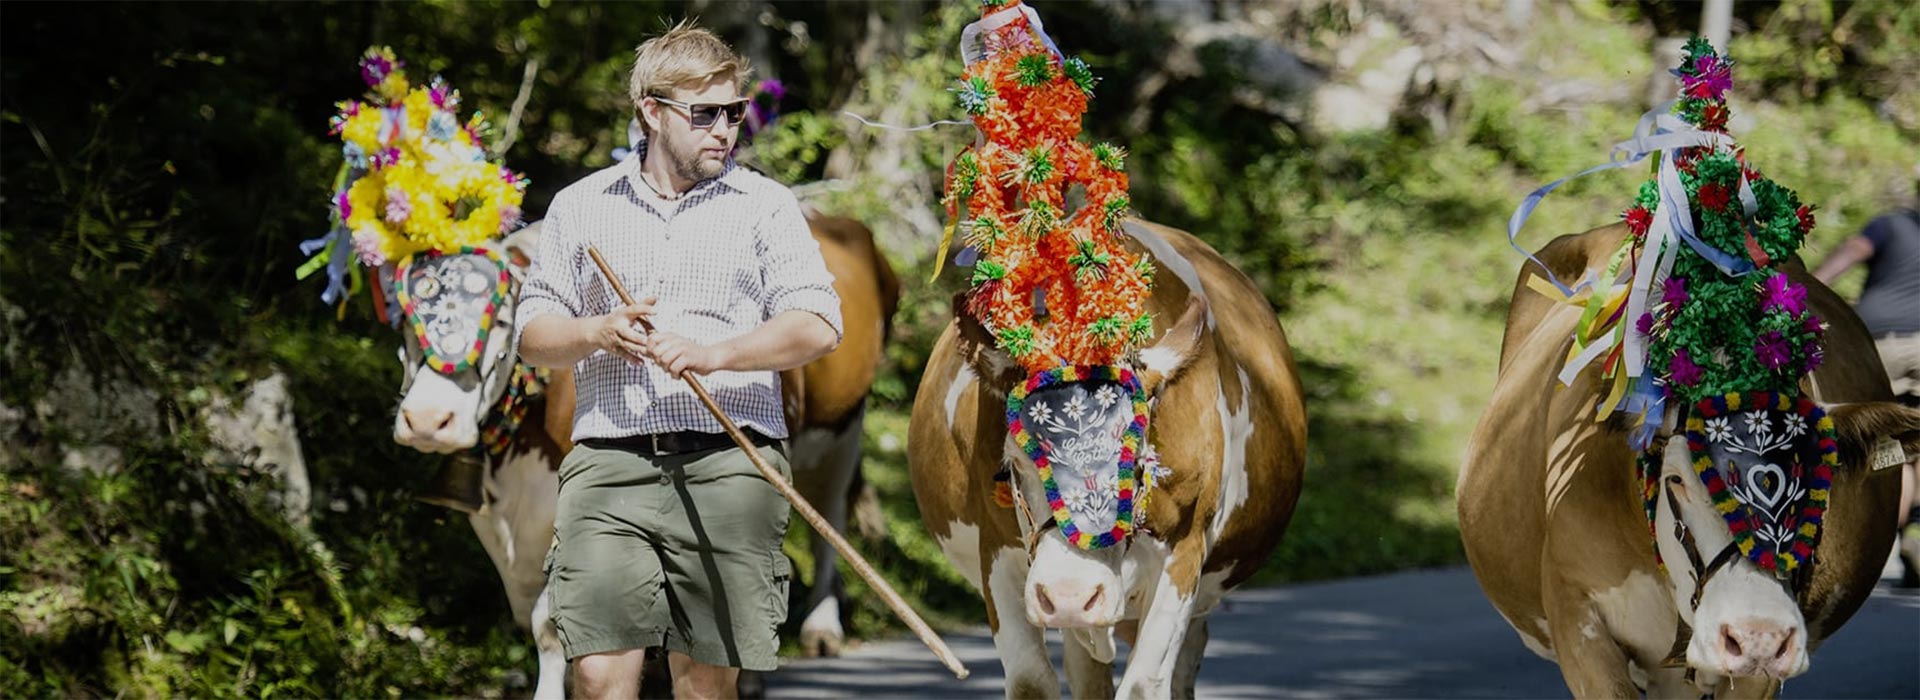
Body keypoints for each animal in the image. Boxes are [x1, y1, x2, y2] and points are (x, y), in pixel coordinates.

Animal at [395, 210, 898, 694]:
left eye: (501, 320)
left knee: (825, 525)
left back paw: (817, 631)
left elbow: (548, 625)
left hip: (844, 430)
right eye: (405, 320)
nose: (428, 420)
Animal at [910, 219, 1305, 698]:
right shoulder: (998, 556)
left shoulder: (1185, 553)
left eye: (1134, 465)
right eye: (1015, 465)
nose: (1069, 596)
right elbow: (1031, 680)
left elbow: (1143, 684)